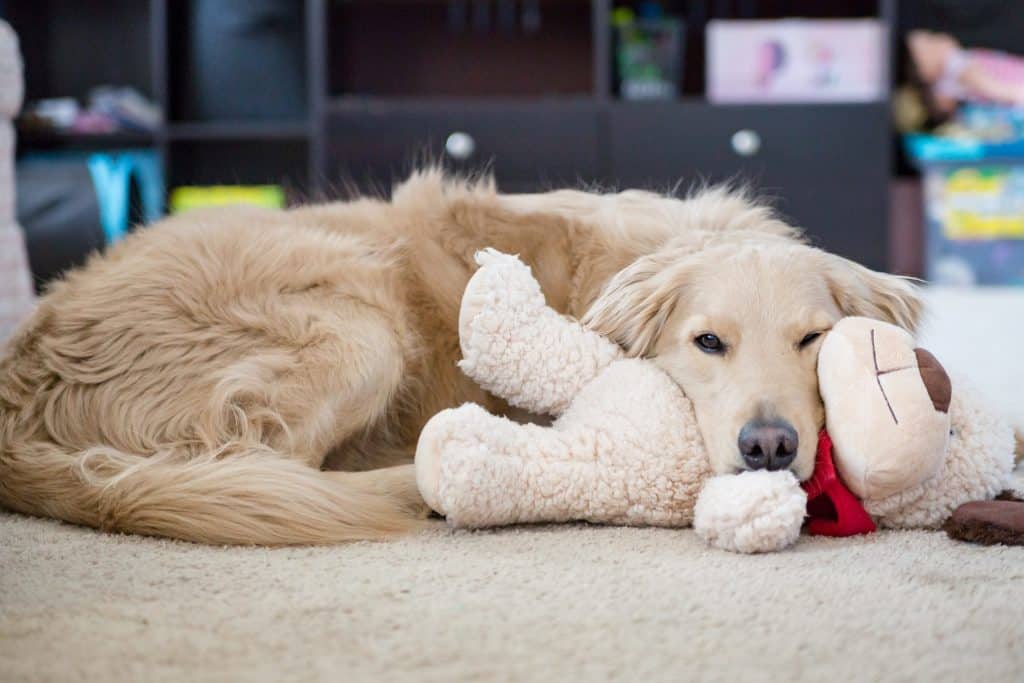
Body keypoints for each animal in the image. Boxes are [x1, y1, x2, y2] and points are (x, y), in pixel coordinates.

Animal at [0, 169, 925, 544]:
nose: (768, 447)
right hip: (358, 324)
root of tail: (24, 366)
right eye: (708, 342)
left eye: (811, 340)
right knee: (263, 458)